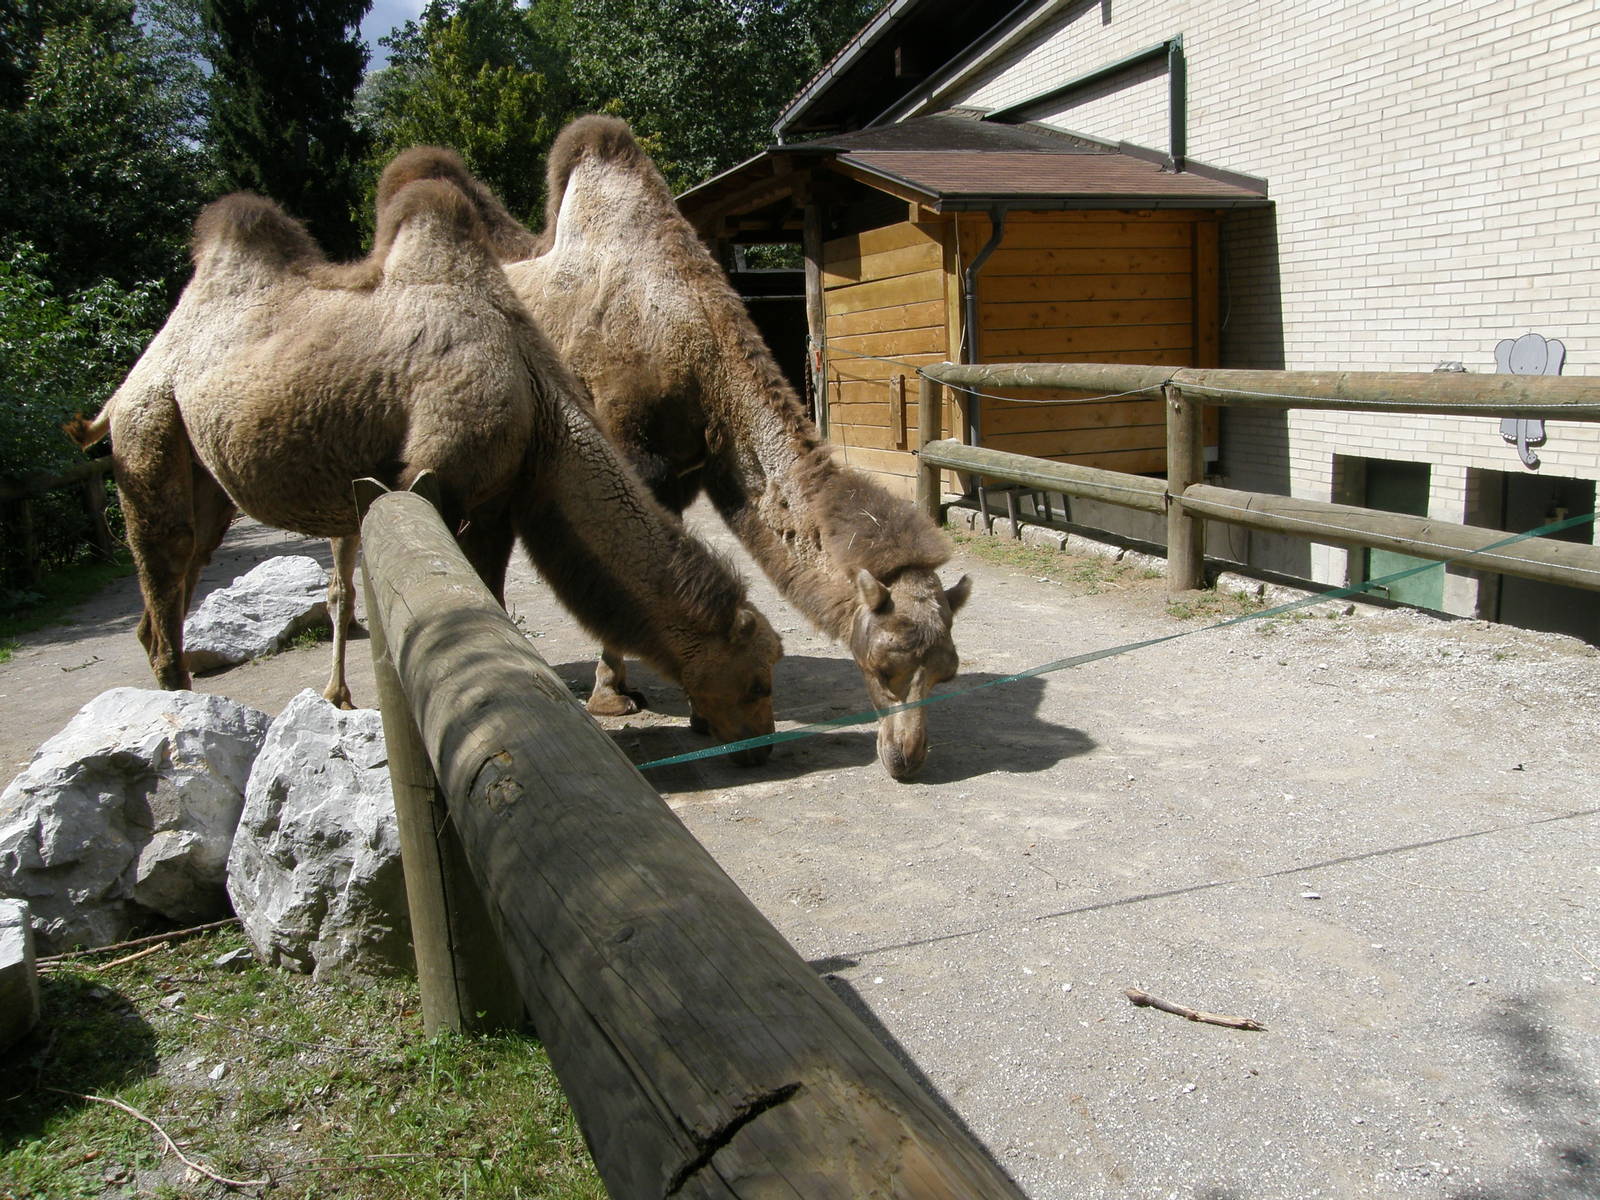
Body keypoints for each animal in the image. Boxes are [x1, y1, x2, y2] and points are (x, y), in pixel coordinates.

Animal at [67, 171, 783, 764]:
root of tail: (119, 395)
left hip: (203, 478)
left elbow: (485, 591)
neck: (537, 398)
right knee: (164, 567)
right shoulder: (432, 474)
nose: (761, 748)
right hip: (150, 430)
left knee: (165, 597)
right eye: (756, 680)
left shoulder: (493, 502)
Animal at [493, 117, 968, 780]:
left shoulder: (685, 470)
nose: (907, 759)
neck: (694, 349)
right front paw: (614, 697)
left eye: (947, 672)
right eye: (882, 666)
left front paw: (699, 710)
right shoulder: (627, 455)